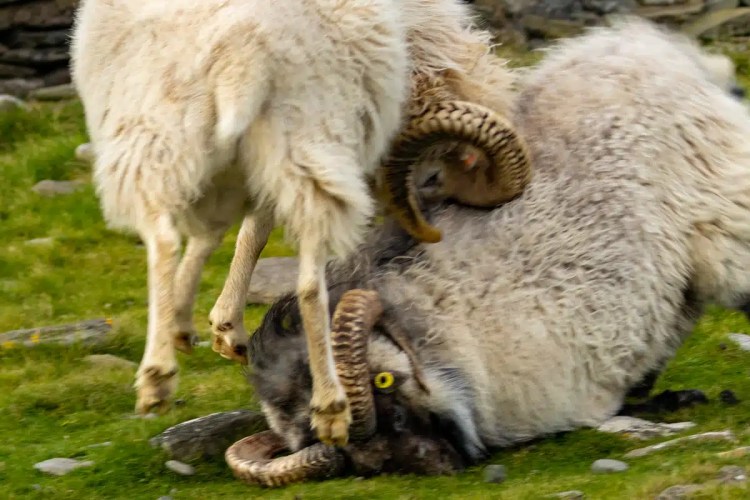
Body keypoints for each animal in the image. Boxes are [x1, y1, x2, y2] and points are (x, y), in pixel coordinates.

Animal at [69, 0, 532, 446]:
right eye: (435, 177)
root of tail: (239, 47)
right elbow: (254, 232)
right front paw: (222, 326)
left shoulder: (230, 168)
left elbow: (214, 235)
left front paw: (193, 322)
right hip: (304, 138)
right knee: (309, 283)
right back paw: (331, 406)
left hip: (157, 131)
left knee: (163, 238)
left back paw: (157, 377)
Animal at [231, 17, 750, 485]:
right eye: (352, 458)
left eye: (383, 382)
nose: (430, 462)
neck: (439, 316)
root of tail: (649, 46)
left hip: (725, 220)